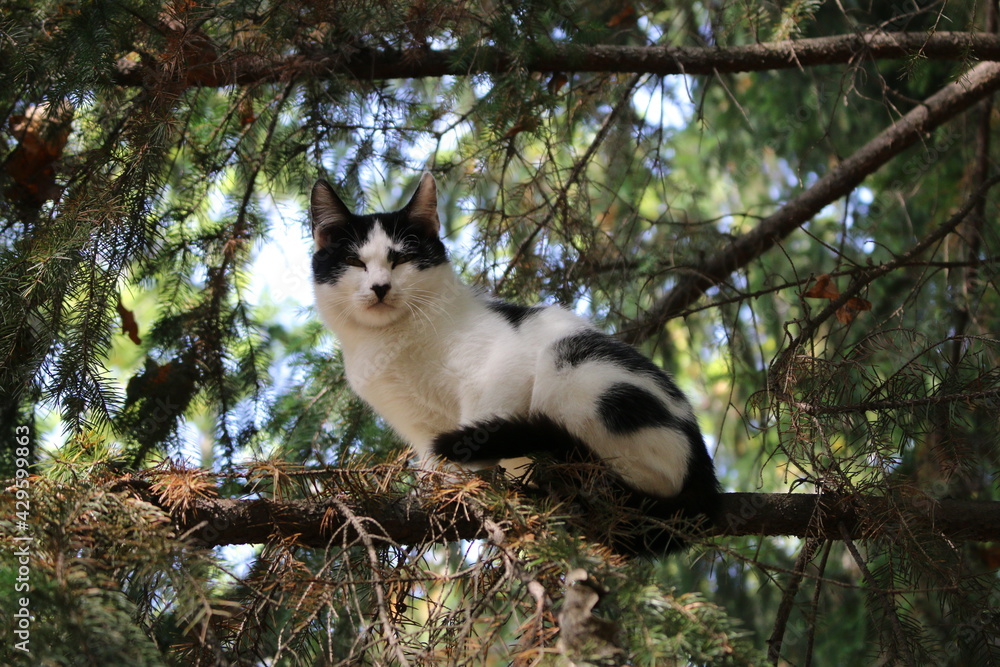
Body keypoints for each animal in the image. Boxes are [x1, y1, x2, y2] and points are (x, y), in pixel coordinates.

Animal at [310, 172, 720, 552]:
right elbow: (431, 459)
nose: (380, 287)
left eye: (401, 258)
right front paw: (430, 492)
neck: (390, 343)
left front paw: (465, 480)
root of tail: (703, 475)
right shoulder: (415, 422)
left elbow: (476, 424)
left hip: (569, 365)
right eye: (353, 261)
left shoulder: (505, 365)